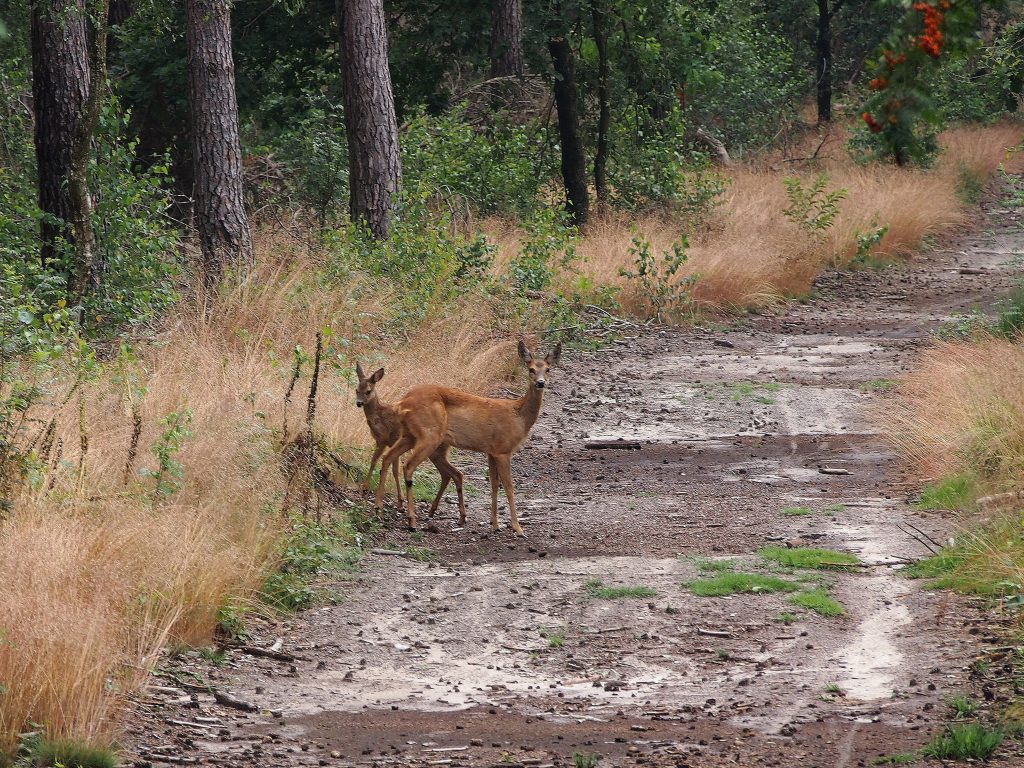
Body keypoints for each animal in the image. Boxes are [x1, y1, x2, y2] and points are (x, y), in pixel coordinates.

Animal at [352, 364, 464, 518]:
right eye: (356, 389)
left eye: (368, 391)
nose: (359, 403)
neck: (379, 416)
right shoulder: (385, 442)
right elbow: (386, 466)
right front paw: (399, 501)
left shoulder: (386, 440)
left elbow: (383, 466)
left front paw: (366, 490)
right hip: (435, 451)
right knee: (449, 474)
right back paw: (434, 510)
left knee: (450, 473)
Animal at [376, 342, 565, 536]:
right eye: (531, 369)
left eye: (548, 369)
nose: (541, 383)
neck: (518, 416)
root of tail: (403, 402)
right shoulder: (503, 450)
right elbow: (509, 487)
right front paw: (517, 528)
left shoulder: (491, 451)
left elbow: (494, 484)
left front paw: (495, 524)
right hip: (429, 435)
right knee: (408, 466)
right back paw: (411, 521)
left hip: (409, 435)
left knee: (387, 457)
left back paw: (379, 509)